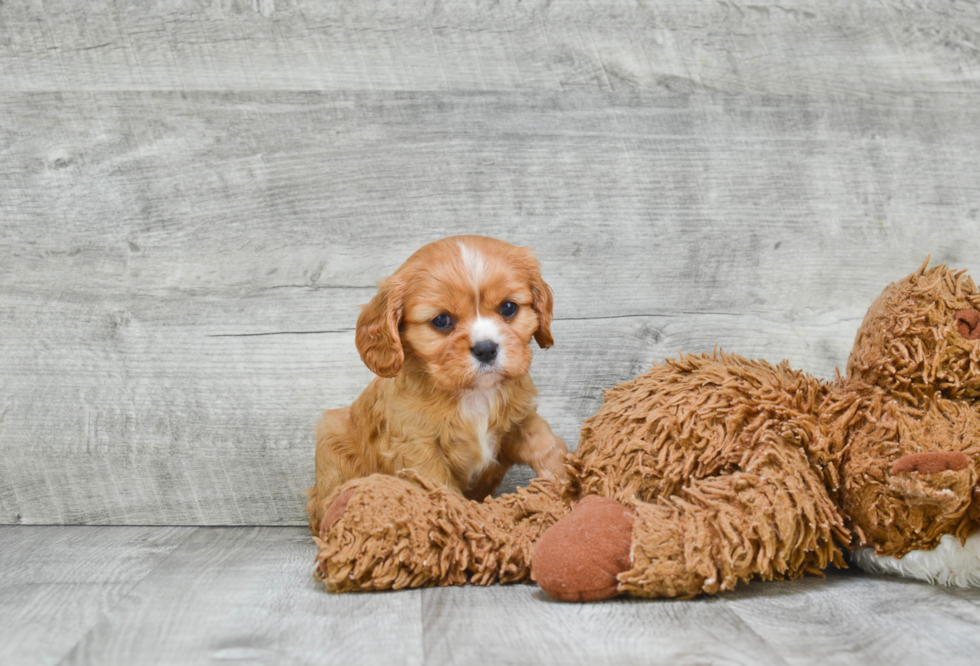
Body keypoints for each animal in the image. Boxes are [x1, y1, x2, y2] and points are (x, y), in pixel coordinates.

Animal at [304, 236, 568, 532]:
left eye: (508, 308)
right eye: (442, 320)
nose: (486, 349)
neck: (474, 394)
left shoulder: (520, 420)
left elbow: (547, 445)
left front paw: (566, 481)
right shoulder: (418, 449)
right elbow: (441, 490)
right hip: (331, 438)